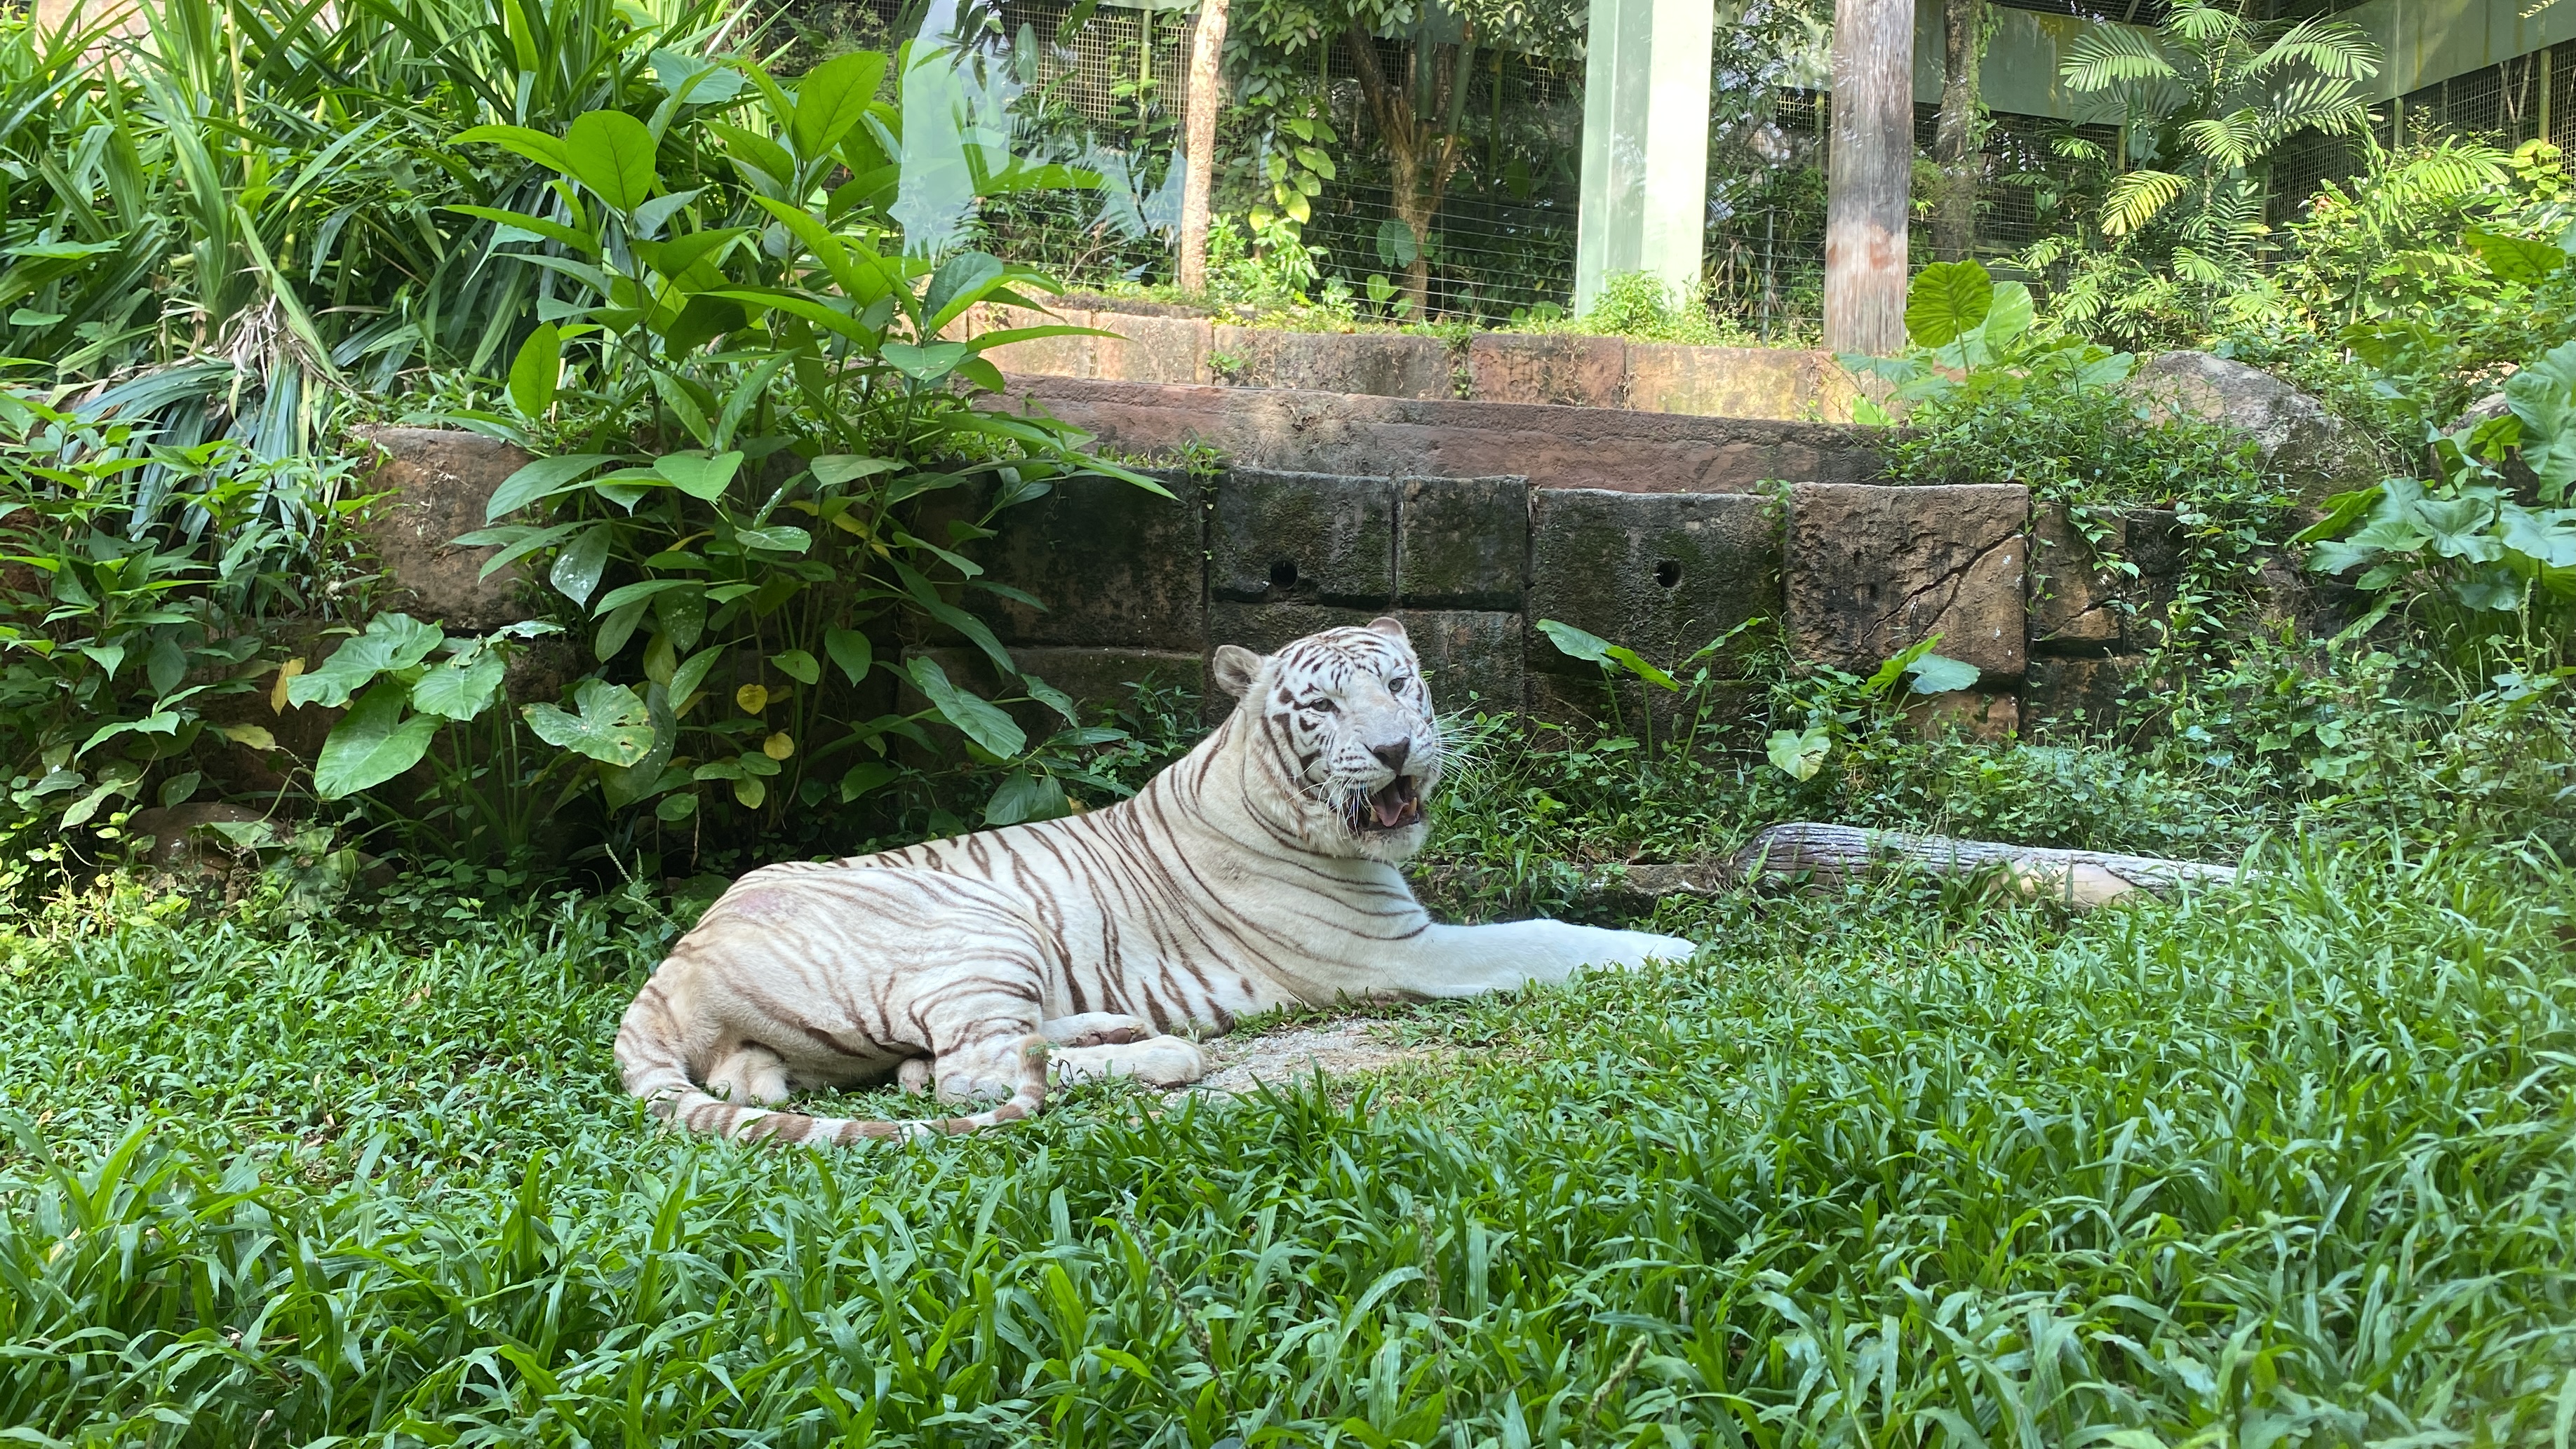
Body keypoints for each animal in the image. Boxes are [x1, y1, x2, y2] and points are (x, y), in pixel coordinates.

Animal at [612, 617, 1700, 1137]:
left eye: (1399, 683)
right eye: (1321, 706)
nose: (1397, 750)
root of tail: (670, 969)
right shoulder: (1405, 952)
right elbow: (1548, 933)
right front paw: (1675, 947)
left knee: (940, 1065)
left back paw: (1113, 1027)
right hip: (980, 926)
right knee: (969, 1072)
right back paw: (1164, 1054)